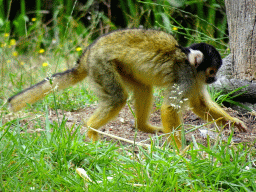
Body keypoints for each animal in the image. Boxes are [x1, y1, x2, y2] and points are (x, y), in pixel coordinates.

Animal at [8, 28, 247, 148]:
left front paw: (233, 122)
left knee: (143, 88)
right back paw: (91, 131)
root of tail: (86, 54)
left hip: (123, 67)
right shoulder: (187, 77)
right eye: (212, 71)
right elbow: (169, 109)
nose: (214, 79)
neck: (191, 65)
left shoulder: (195, 80)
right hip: (101, 65)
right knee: (117, 98)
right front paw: (181, 150)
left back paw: (143, 127)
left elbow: (199, 104)